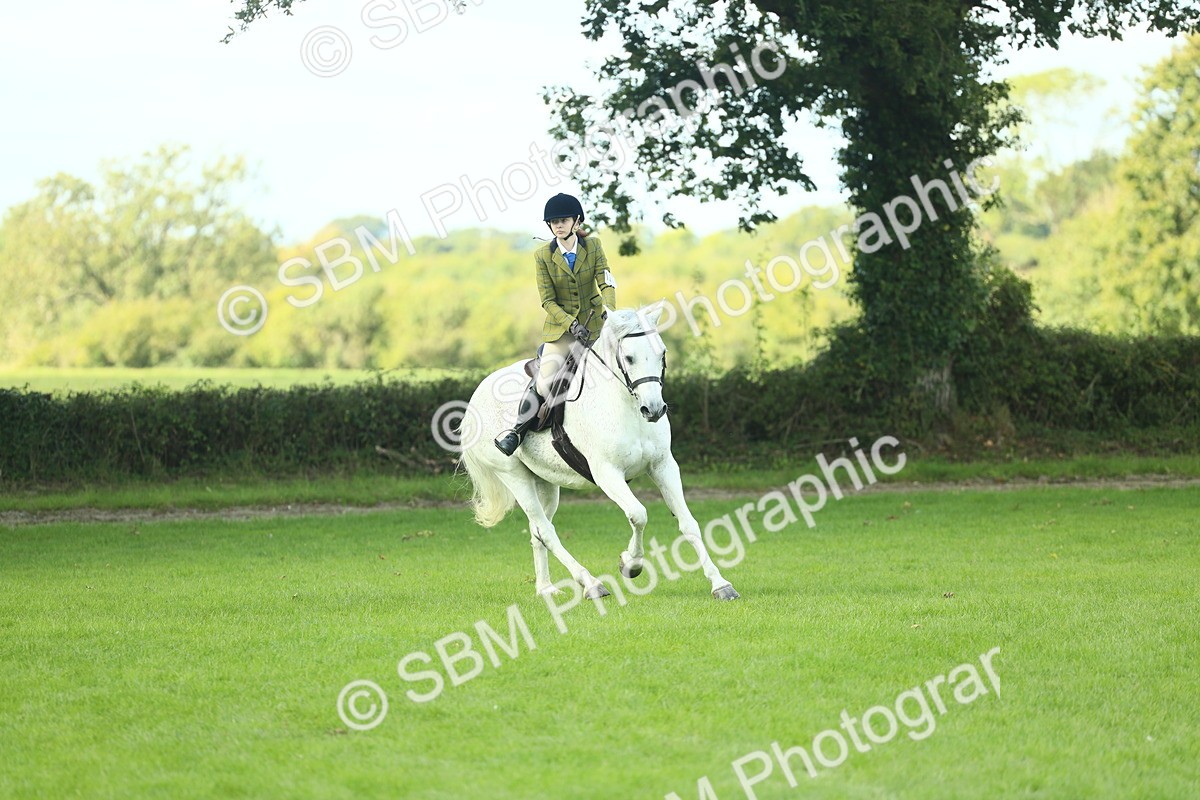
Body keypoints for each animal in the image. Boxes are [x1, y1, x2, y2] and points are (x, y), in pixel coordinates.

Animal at [458, 305, 740, 601]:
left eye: (662, 353)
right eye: (629, 357)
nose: (654, 410)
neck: (627, 405)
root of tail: (475, 397)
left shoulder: (663, 466)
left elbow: (689, 523)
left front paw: (720, 584)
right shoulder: (607, 473)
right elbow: (638, 514)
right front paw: (630, 564)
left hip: (544, 481)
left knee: (538, 530)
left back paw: (546, 589)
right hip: (513, 475)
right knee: (546, 530)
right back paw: (591, 583)